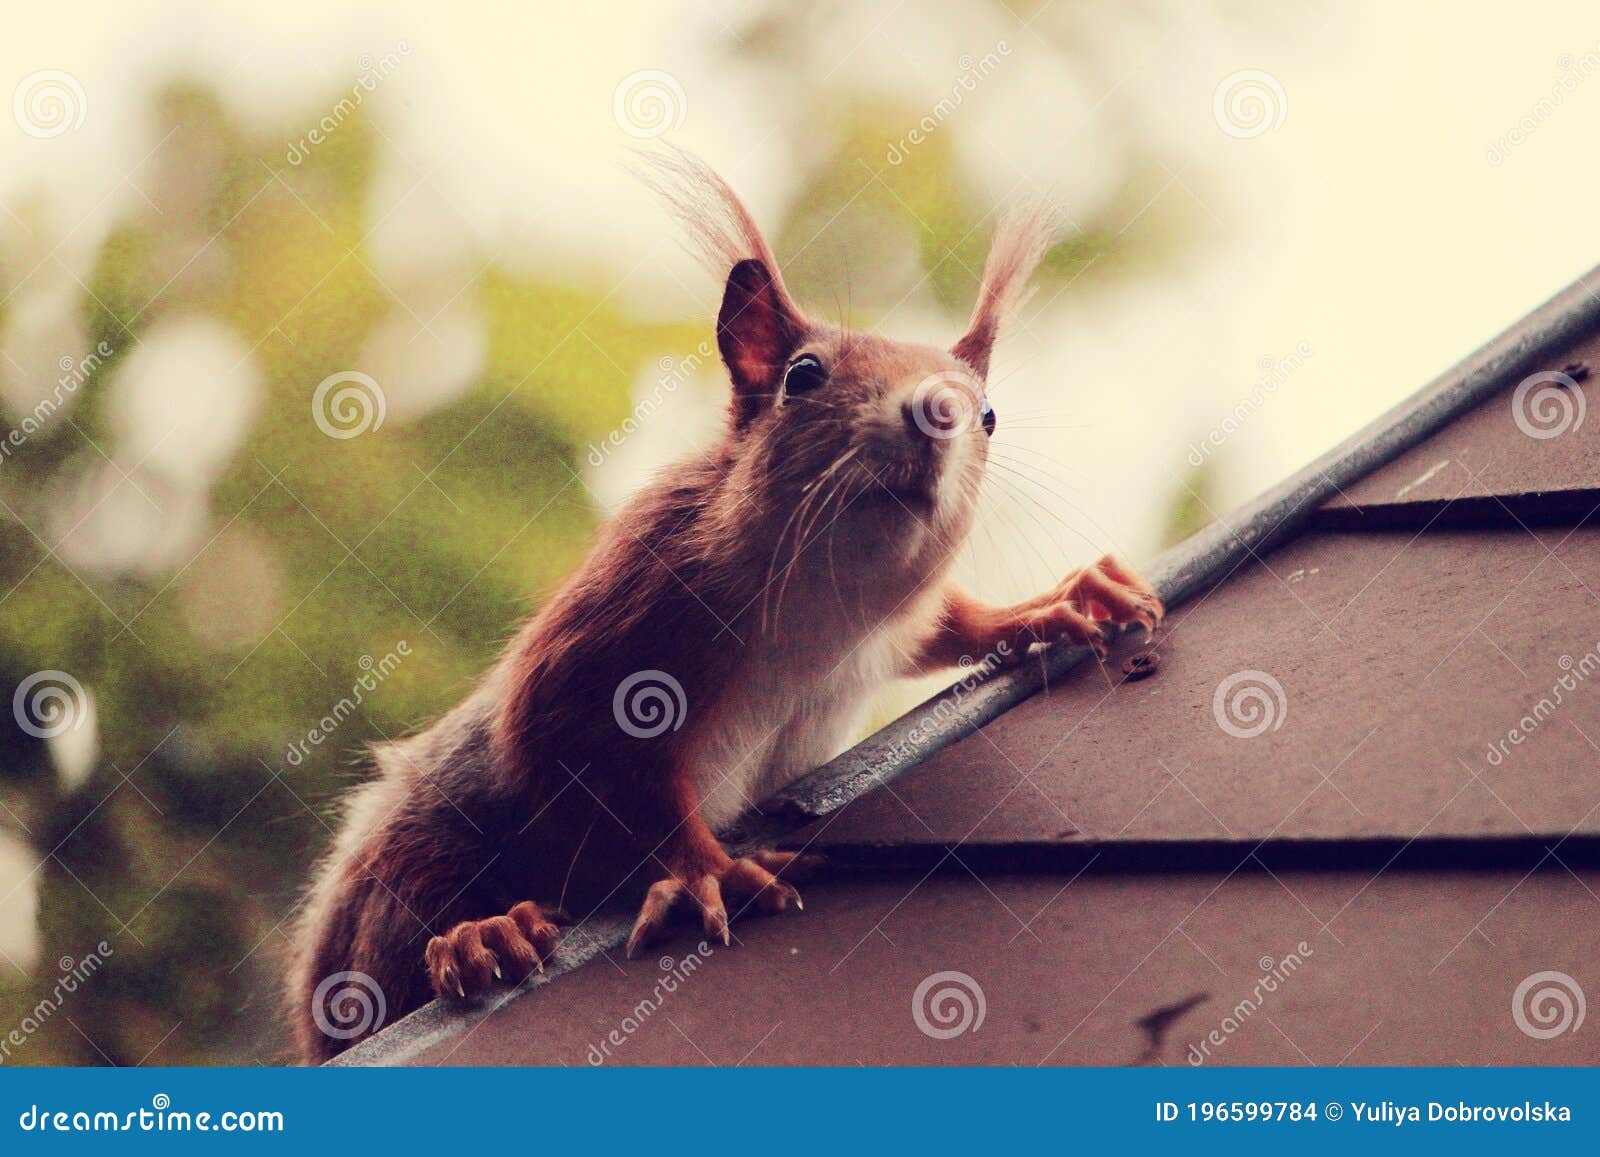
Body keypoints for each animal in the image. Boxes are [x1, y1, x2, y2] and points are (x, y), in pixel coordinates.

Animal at [287, 151, 1163, 1064]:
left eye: (989, 413)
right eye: (802, 375)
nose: (939, 411)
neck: (826, 610)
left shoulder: (894, 623)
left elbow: (949, 624)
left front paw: (1054, 602)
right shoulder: (626, 611)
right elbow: (604, 765)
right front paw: (709, 866)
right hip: (407, 867)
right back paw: (478, 937)